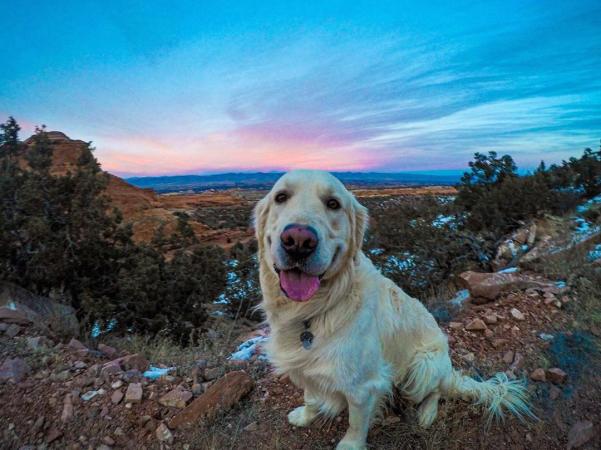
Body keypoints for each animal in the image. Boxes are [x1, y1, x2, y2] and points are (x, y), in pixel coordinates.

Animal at [253, 171, 528, 448]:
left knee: (436, 390)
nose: (299, 241)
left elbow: (355, 423)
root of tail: (448, 369)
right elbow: (310, 395)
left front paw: (350, 445)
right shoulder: (305, 365)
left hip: (422, 366)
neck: (318, 308)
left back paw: (427, 413)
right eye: (281, 197)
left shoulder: (364, 386)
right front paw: (305, 415)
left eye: (333, 203)